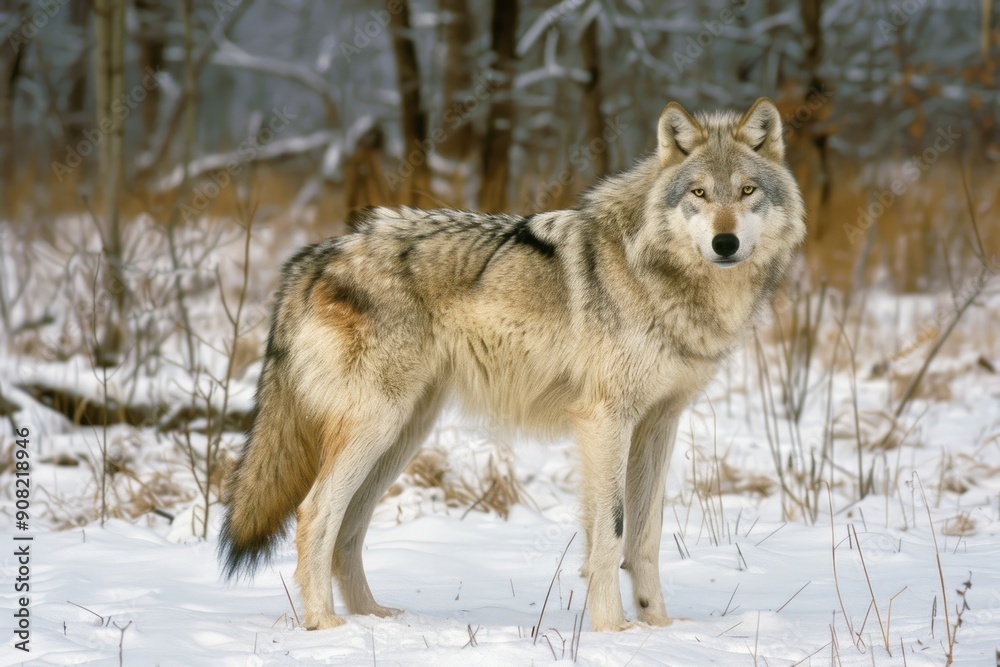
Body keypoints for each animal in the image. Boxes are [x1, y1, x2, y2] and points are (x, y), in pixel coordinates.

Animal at [219, 97, 805, 632]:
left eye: (747, 191)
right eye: (699, 193)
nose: (725, 242)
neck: (660, 273)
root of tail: (319, 253)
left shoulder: (659, 422)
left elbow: (644, 536)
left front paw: (657, 627)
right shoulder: (605, 421)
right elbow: (610, 533)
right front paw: (612, 631)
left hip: (402, 435)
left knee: (350, 527)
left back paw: (377, 620)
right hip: (377, 425)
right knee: (316, 513)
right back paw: (326, 624)